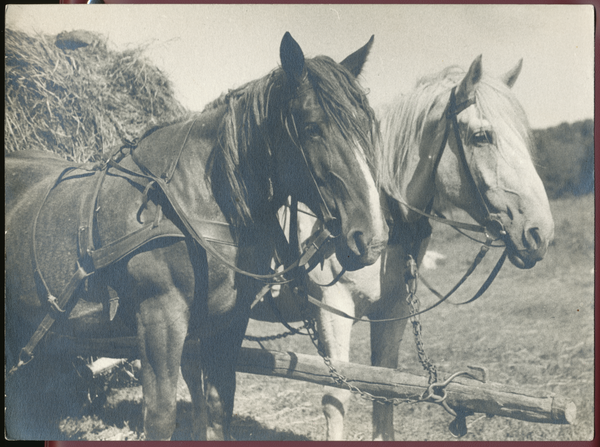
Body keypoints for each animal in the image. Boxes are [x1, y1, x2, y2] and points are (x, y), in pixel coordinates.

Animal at [5, 32, 390, 440]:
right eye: (313, 127)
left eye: (367, 127)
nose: (372, 239)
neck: (192, 203)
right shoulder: (160, 321)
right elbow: (160, 418)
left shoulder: (229, 323)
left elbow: (220, 408)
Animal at [248, 55, 552, 440]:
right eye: (482, 136)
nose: (540, 232)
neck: (379, 217)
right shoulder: (332, 309)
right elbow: (337, 396)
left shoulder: (393, 311)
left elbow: (385, 389)